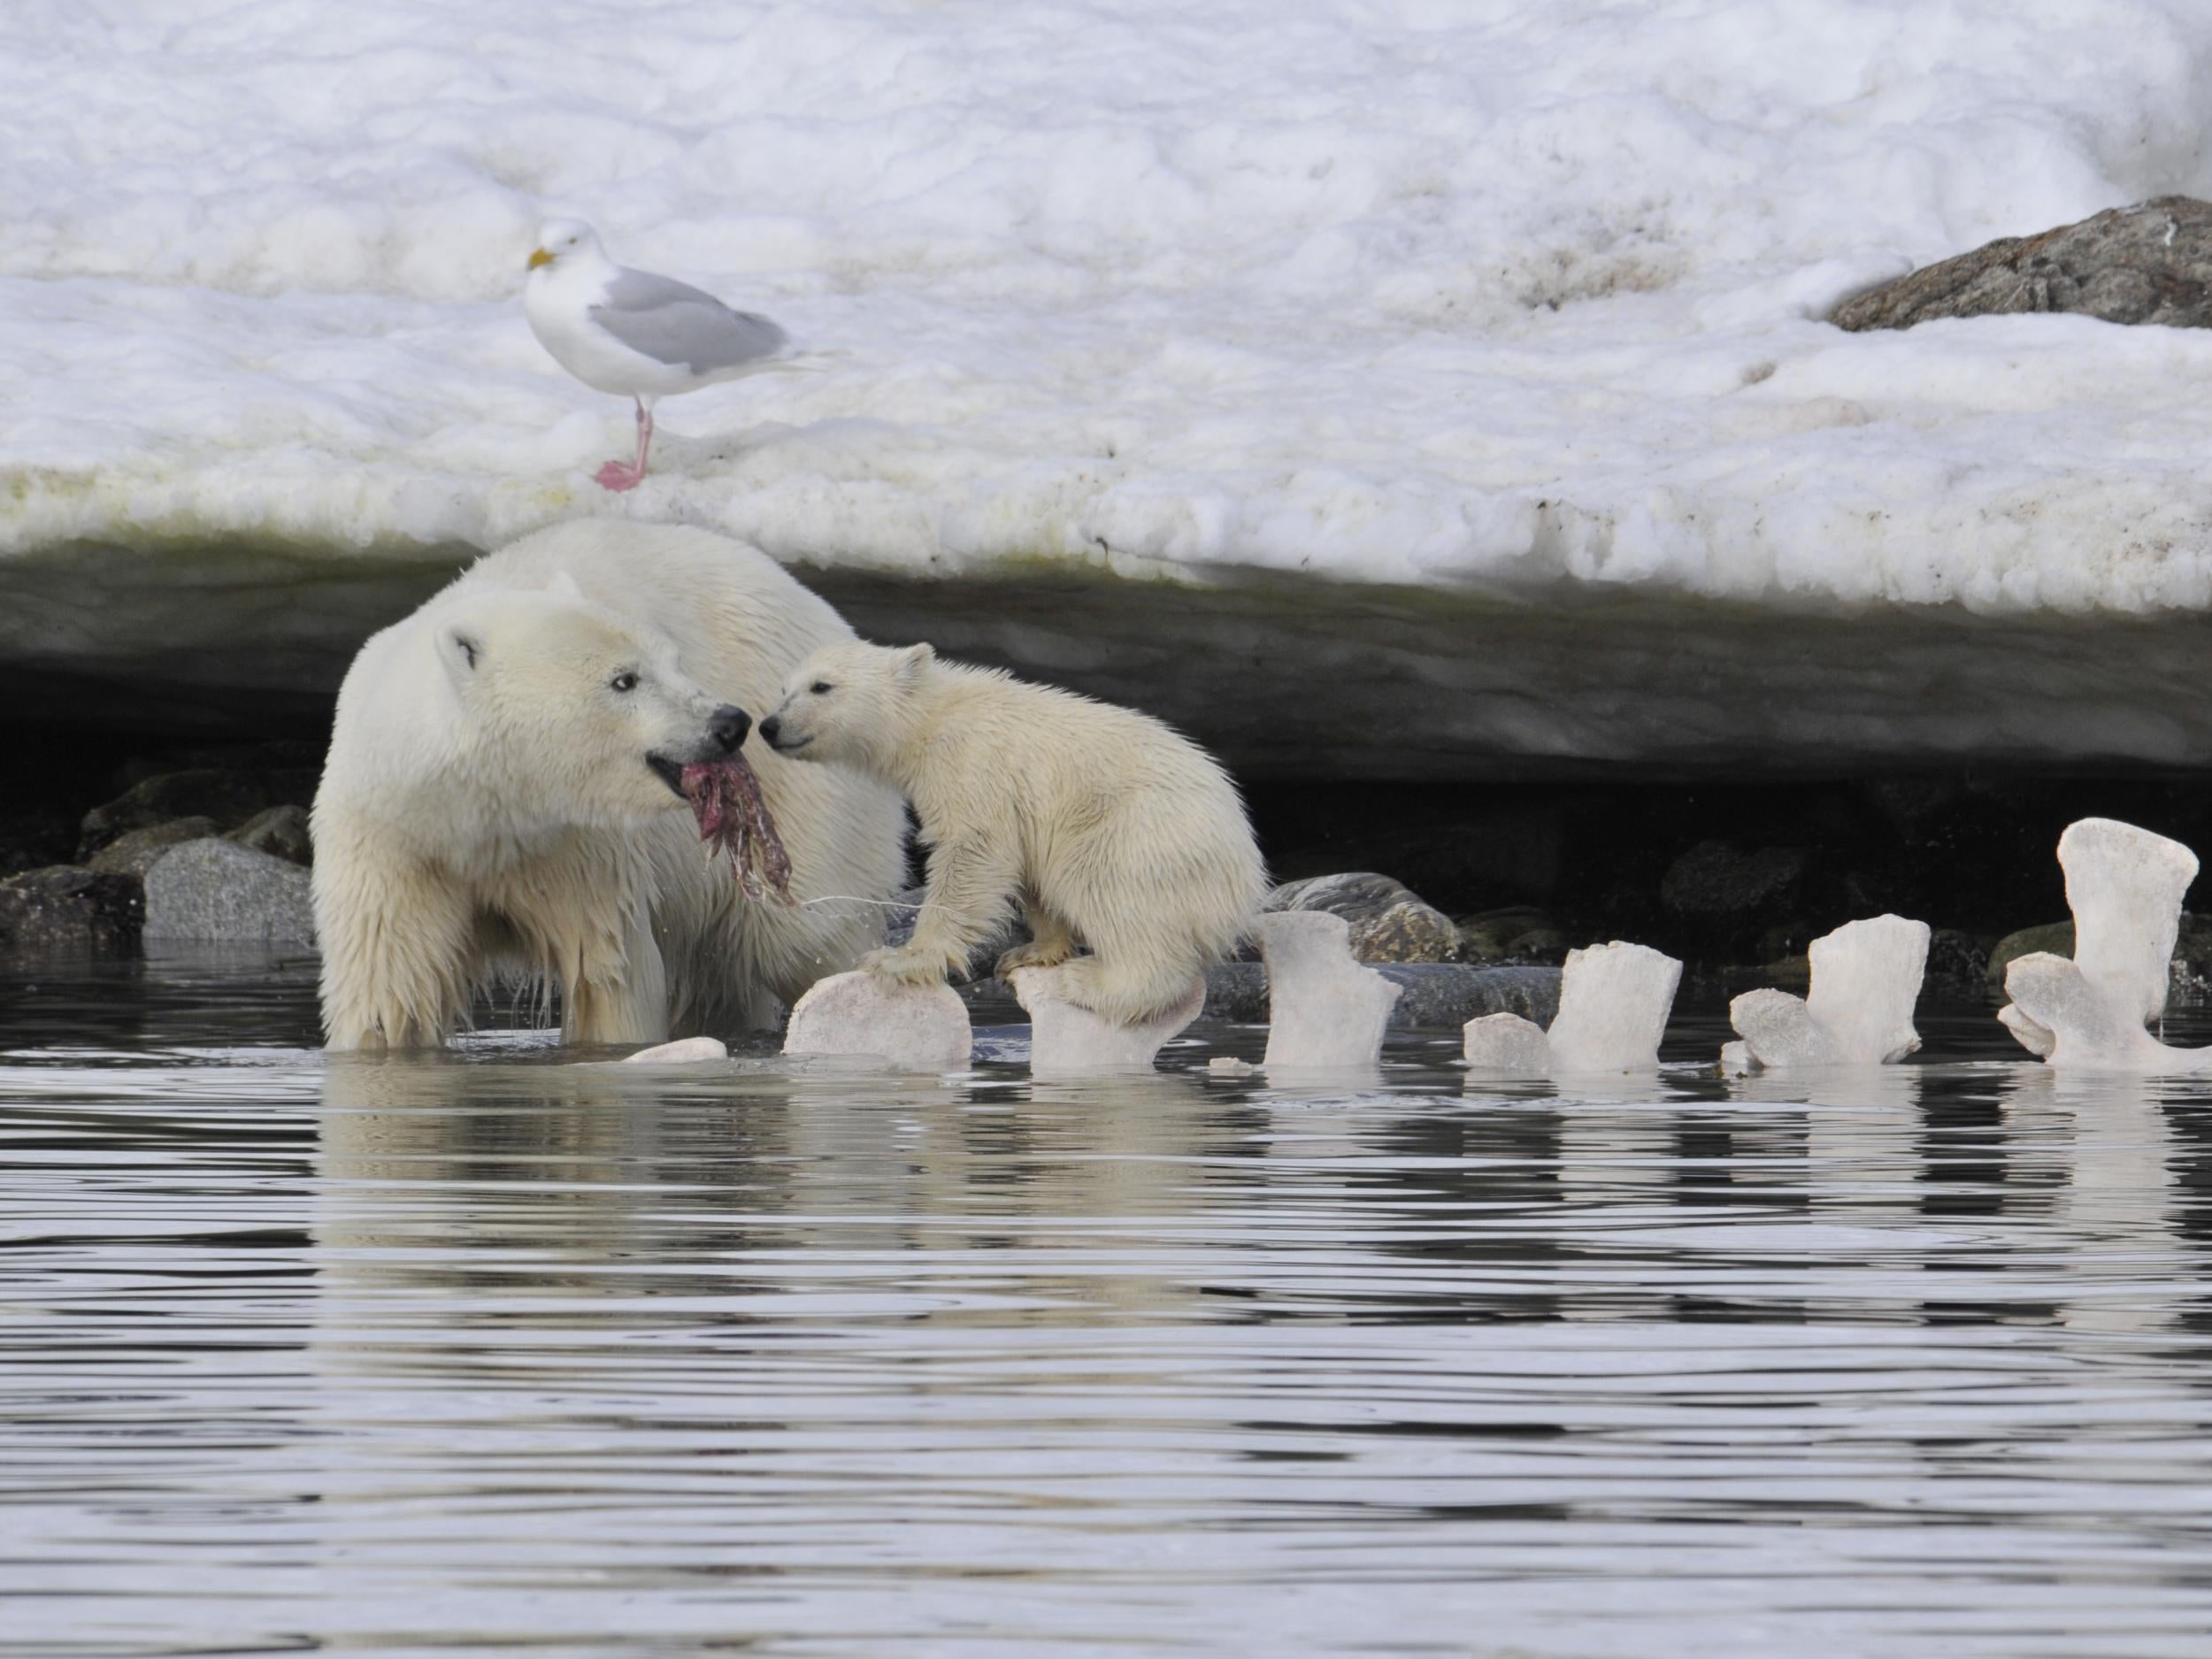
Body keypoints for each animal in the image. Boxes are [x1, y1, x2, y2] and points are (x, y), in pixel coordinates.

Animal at [310, 526, 907, 1053]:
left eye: (673, 661)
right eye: (625, 679)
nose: (730, 723)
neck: (480, 817)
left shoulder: (581, 848)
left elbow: (606, 976)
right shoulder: (393, 849)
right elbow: (389, 992)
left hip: (812, 792)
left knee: (806, 934)